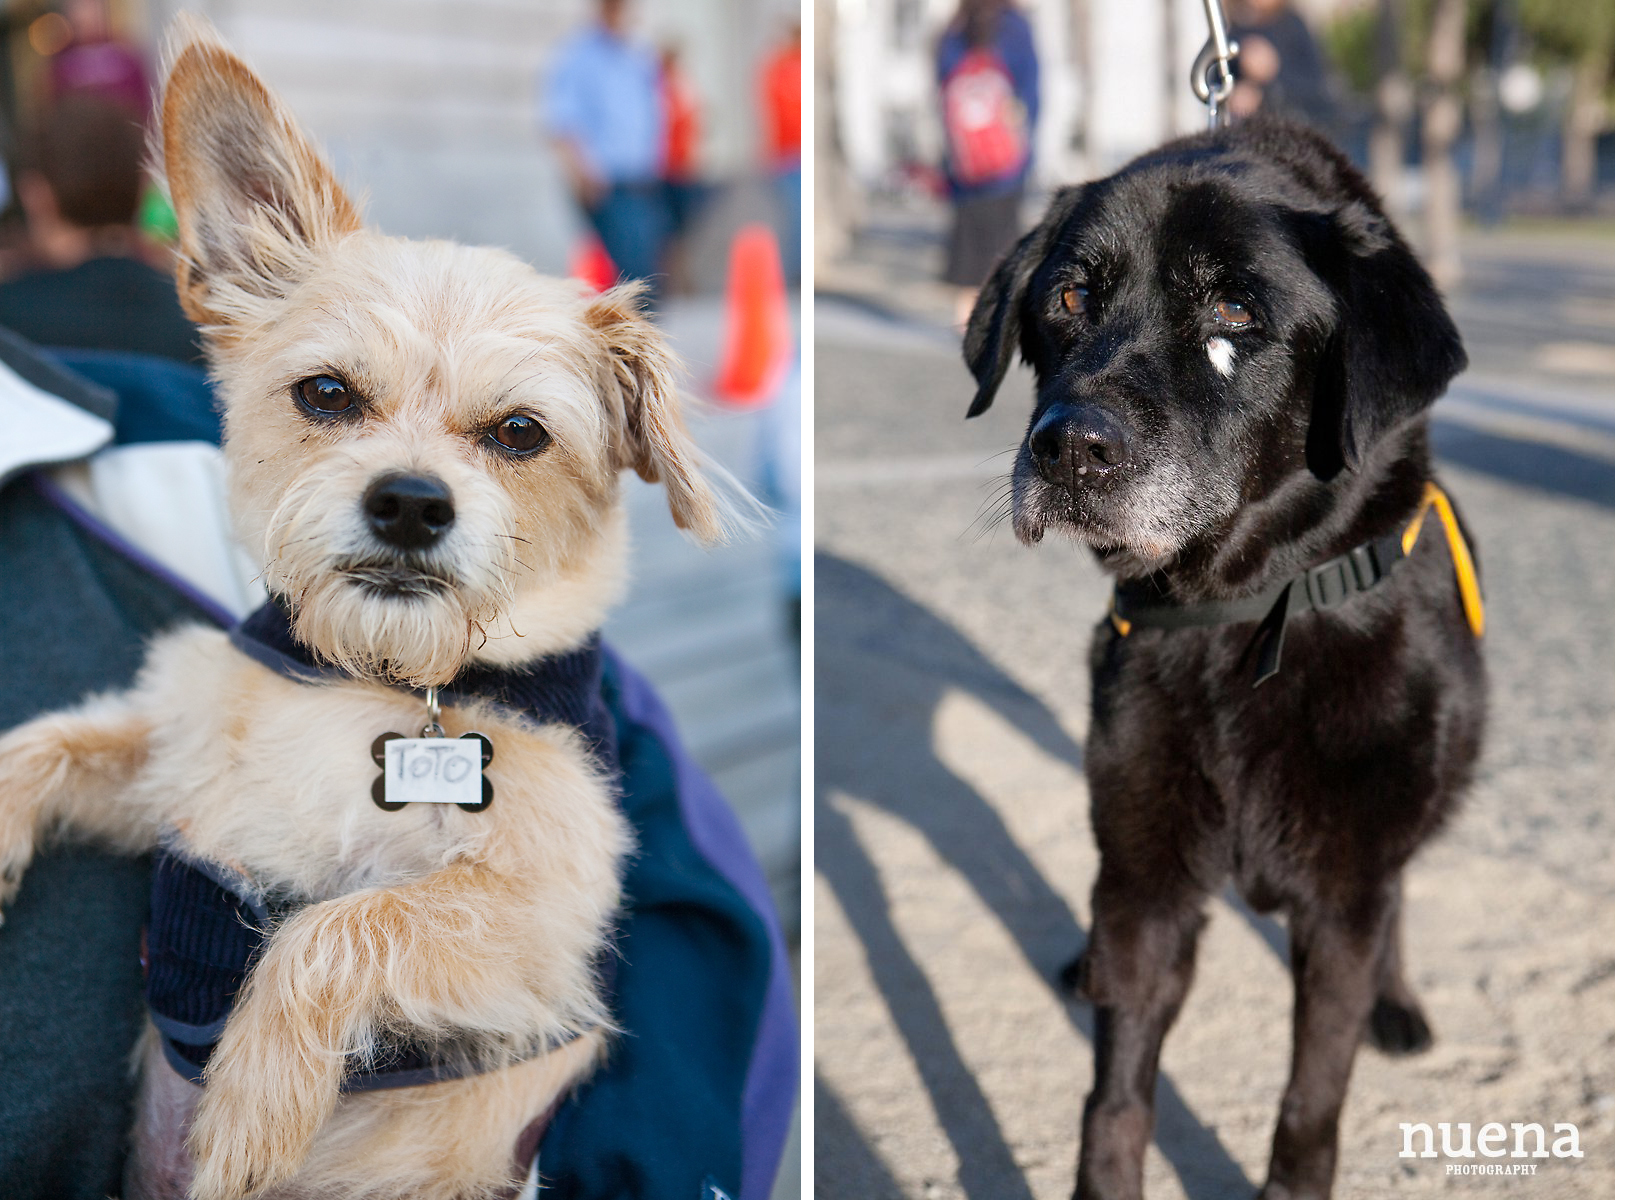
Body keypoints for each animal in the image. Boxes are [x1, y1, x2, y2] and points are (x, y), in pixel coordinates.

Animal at [0, 16, 739, 1200]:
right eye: (327, 394)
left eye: (520, 433)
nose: (409, 503)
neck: (379, 680)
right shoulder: (177, 776)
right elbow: (52, 743)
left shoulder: (541, 935)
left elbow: (342, 923)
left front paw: (252, 1101)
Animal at [963, 119, 1491, 1200]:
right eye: (1069, 297)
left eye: (1235, 311)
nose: (1068, 449)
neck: (1235, 617)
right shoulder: (1147, 881)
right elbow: (1115, 1098)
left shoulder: (1341, 901)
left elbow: (1312, 1099)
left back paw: (1397, 1004)